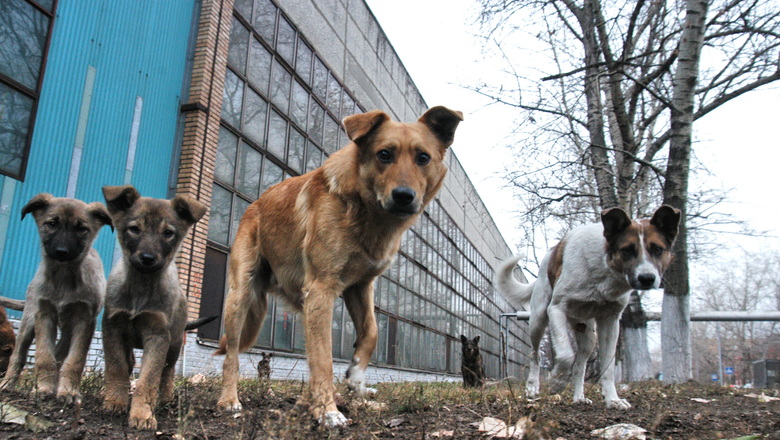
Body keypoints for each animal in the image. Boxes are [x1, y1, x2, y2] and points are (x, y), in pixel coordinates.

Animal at [0, 192, 112, 402]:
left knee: (61, 353)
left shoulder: (84, 320)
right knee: (18, 355)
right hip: (29, 320)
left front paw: (68, 391)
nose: (62, 252)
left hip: (68, 329)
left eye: (82, 229)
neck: (64, 278)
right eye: (51, 224)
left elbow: (75, 359)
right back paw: (7, 383)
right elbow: (44, 356)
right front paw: (43, 388)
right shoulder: (44, 315)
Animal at [216, 105, 464, 424]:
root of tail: (254, 205)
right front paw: (328, 412)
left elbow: (371, 332)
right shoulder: (321, 290)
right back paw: (229, 400)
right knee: (232, 354)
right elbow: (323, 357)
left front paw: (356, 377)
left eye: (423, 157)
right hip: (240, 297)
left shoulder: (359, 287)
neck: (365, 210)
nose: (404, 196)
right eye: (384, 154)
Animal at [496, 205, 680, 410]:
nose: (647, 278)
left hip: (588, 336)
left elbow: (607, 367)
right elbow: (566, 355)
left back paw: (579, 397)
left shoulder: (610, 321)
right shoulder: (556, 309)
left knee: (580, 366)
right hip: (538, 320)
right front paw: (557, 382)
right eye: (627, 250)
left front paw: (613, 399)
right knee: (534, 355)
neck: (604, 268)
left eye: (657, 249)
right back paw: (532, 387)